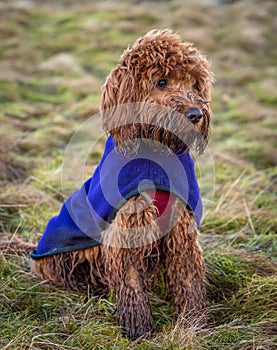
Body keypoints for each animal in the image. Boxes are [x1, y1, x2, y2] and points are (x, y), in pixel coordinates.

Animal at [5, 28, 213, 340]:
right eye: (161, 81)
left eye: (194, 83)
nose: (195, 114)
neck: (156, 151)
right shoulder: (128, 226)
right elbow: (131, 283)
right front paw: (139, 330)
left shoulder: (181, 227)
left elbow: (189, 281)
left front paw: (195, 324)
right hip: (59, 256)